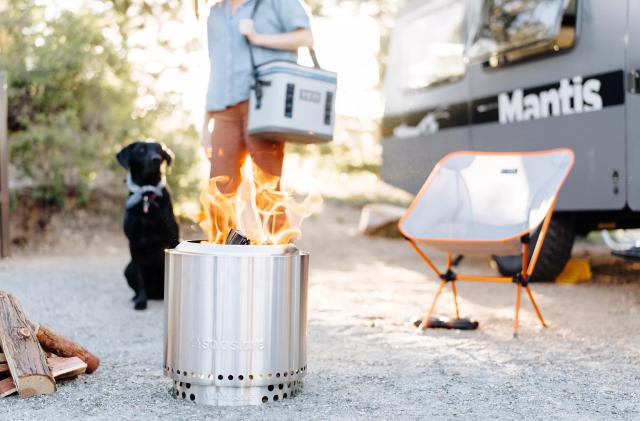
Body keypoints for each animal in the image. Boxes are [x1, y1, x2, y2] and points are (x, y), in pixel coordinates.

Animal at [115, 141, 179, 308]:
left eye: (160, 150)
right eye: (141, 150)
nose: (156, 159)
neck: (146, 195)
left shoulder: (172, 238)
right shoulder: (134, 243)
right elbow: (140, 277)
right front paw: (140, 301)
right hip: (128, 268)